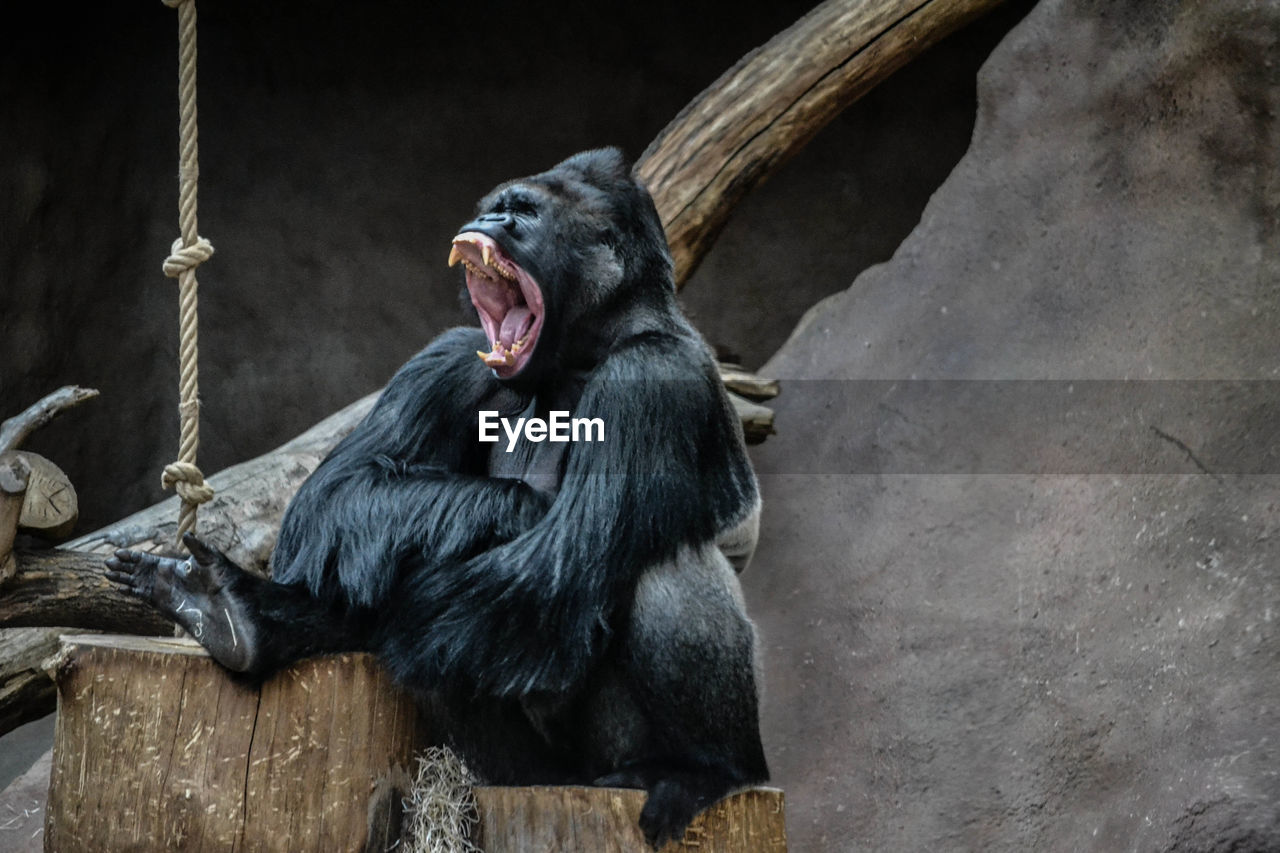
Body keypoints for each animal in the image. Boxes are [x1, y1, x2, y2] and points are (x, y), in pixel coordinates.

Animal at [104, 147, 762, 845]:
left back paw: (705, 770)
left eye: (524, 211)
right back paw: (238, 616)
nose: (490, 221)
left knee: (661, 572)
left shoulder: (655, 379)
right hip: (524, 774)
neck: (588, 348)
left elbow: (556, 563)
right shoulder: (454, 354)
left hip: (618, 765)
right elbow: (336, 496)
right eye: (494, 206)